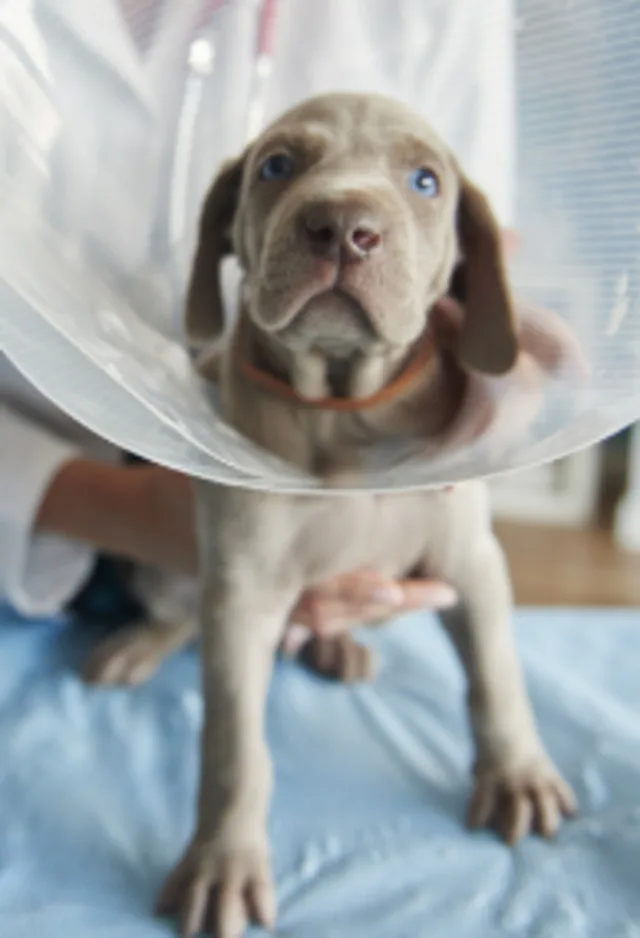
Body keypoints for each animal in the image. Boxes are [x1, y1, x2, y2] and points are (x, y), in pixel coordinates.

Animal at [96, 89, 580, 936]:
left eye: (425, 181)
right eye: (276, 166)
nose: (344, 226)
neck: (344, 410)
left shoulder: (472, 562)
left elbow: (498, 672)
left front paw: (518, 773)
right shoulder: (244, 592)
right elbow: (233, 745)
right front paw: (222, 862)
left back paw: (338, 645)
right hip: (174, 578)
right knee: (180, 612)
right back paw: (140, 643)